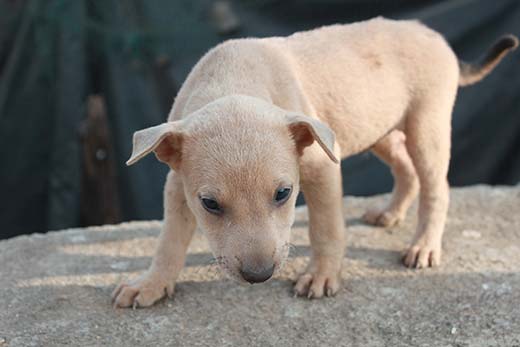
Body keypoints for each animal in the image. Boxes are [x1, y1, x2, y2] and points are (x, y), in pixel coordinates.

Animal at [111, 17, 516, 308]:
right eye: (210, 204)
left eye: (283, 194)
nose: (259, 276)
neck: (233, 80)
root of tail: (434, 35)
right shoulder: (177, 185)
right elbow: (169, 239)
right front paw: (151, 284)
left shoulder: (323, 168)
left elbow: (325, 228)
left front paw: (321, 275)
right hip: (376, 127)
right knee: (405, 169)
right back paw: (389, 213)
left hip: (426, 125)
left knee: (437, 187)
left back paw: (424, 245)